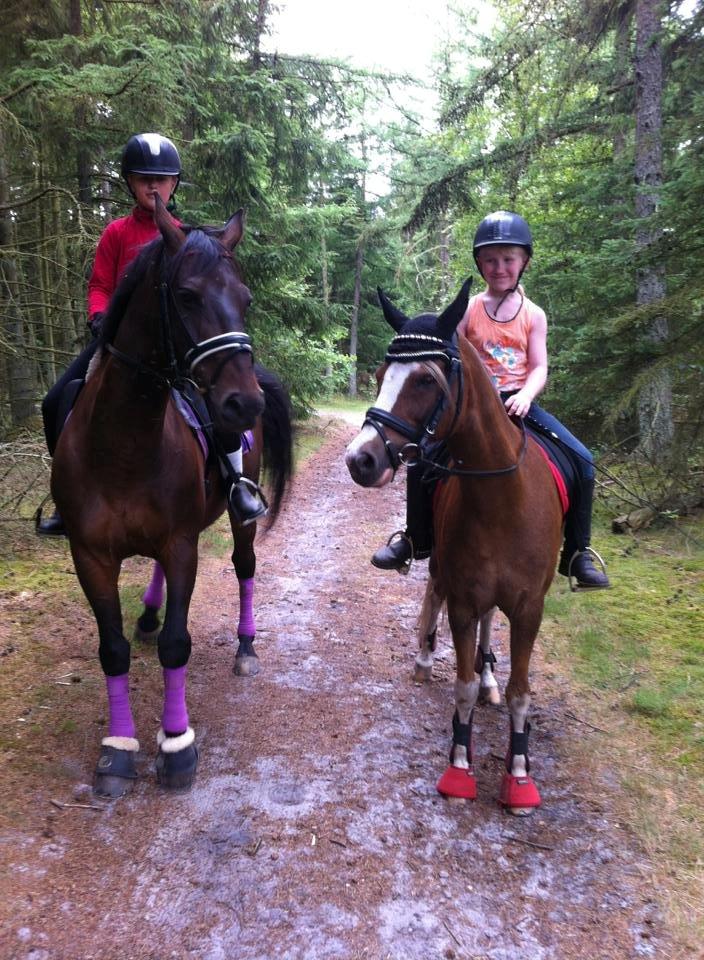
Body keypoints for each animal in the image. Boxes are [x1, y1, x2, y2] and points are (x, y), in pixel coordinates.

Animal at [51, 197, 292, 798]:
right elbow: (111, 650)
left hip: (238, 519)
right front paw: (118, 750)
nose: (244, 404)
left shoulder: (182, 543)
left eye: (245, 299)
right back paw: (148, 614)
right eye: (186, 296)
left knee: (244, 566)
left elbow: (177, 645)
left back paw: (245, 647)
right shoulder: (90, 554)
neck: (124, 443)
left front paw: (177, 744)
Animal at [345, 279, 564, 815]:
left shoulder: (529, 608)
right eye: (379, 375)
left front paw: (519, 775)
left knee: (487, 628)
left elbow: (521, 692)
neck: (504, 499)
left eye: (425, 380)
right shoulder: (464, 598)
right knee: (435, 590)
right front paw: (460, 768)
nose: (360, 459)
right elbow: (460, 686)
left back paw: (488, 678)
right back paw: (426, 659)